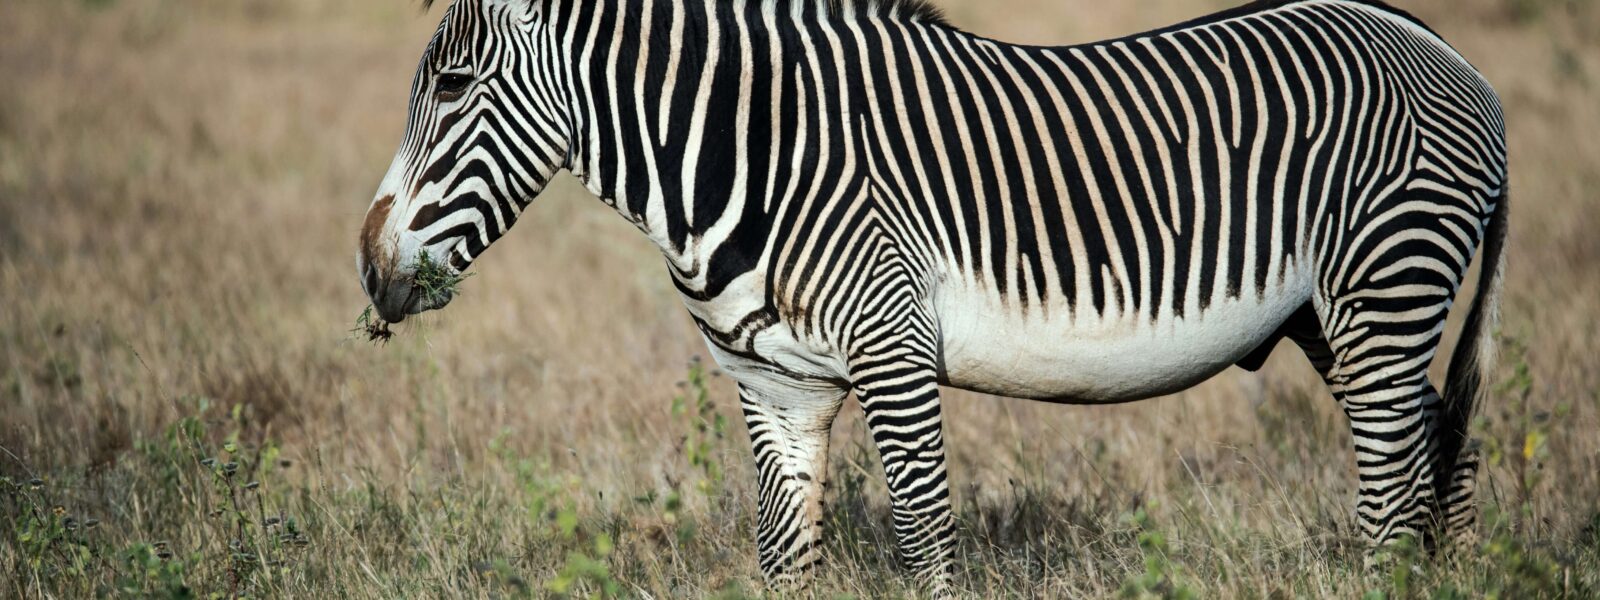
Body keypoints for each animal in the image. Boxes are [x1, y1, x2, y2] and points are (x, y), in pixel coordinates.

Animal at [356, 0, 1508, 592]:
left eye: (452, 87)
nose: (368, 269)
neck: (744, 155)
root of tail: (1436, 42)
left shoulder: (892, 352)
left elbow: (924, 542)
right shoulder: (775, 386)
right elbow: (785, 559)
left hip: (1385, 285)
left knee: (1391, 494)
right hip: (1339, 317)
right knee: (1430, 460)